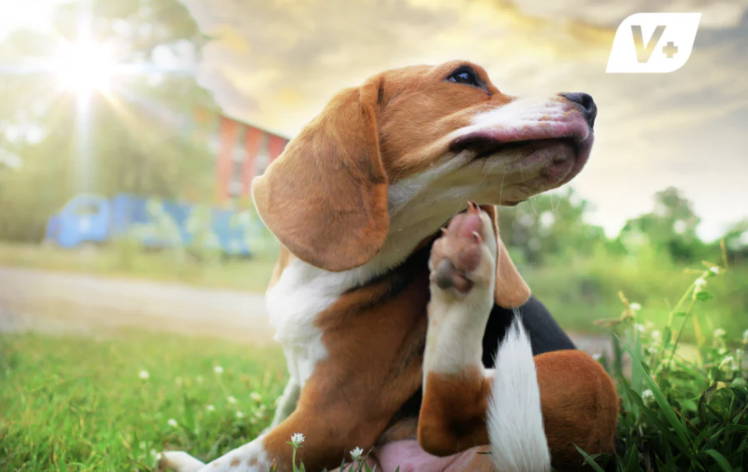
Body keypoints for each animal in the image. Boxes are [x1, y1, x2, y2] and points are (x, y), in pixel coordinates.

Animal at [162, 60, 620, 470]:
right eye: (464, 76)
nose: (589, 102)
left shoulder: (332, 418)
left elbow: (236, 460)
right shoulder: (299, 385)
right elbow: (277, 413)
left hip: (586, 372)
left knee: (446, 422)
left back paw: (467, 279)